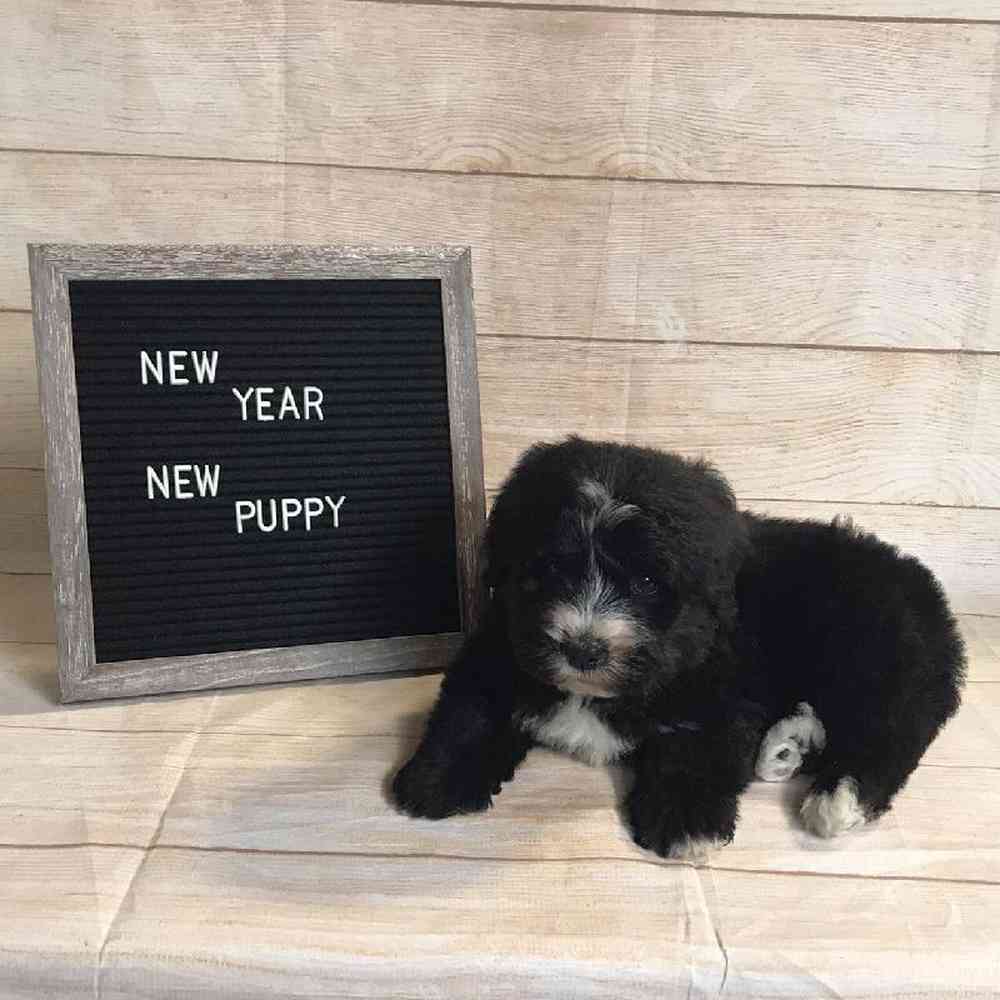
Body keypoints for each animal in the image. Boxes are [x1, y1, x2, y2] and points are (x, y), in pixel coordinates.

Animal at [388, 438, 960, 860]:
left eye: (646, 581)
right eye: (550, 568)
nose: (584, 650)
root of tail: (926, 593)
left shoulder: (717, 689)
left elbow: (694, 746)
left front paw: (687, 825)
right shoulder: (501, 648)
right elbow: (471, 710)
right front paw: (435, 781)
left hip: (871, 655)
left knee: (890, 730)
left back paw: (838, 798)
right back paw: (786, 746)